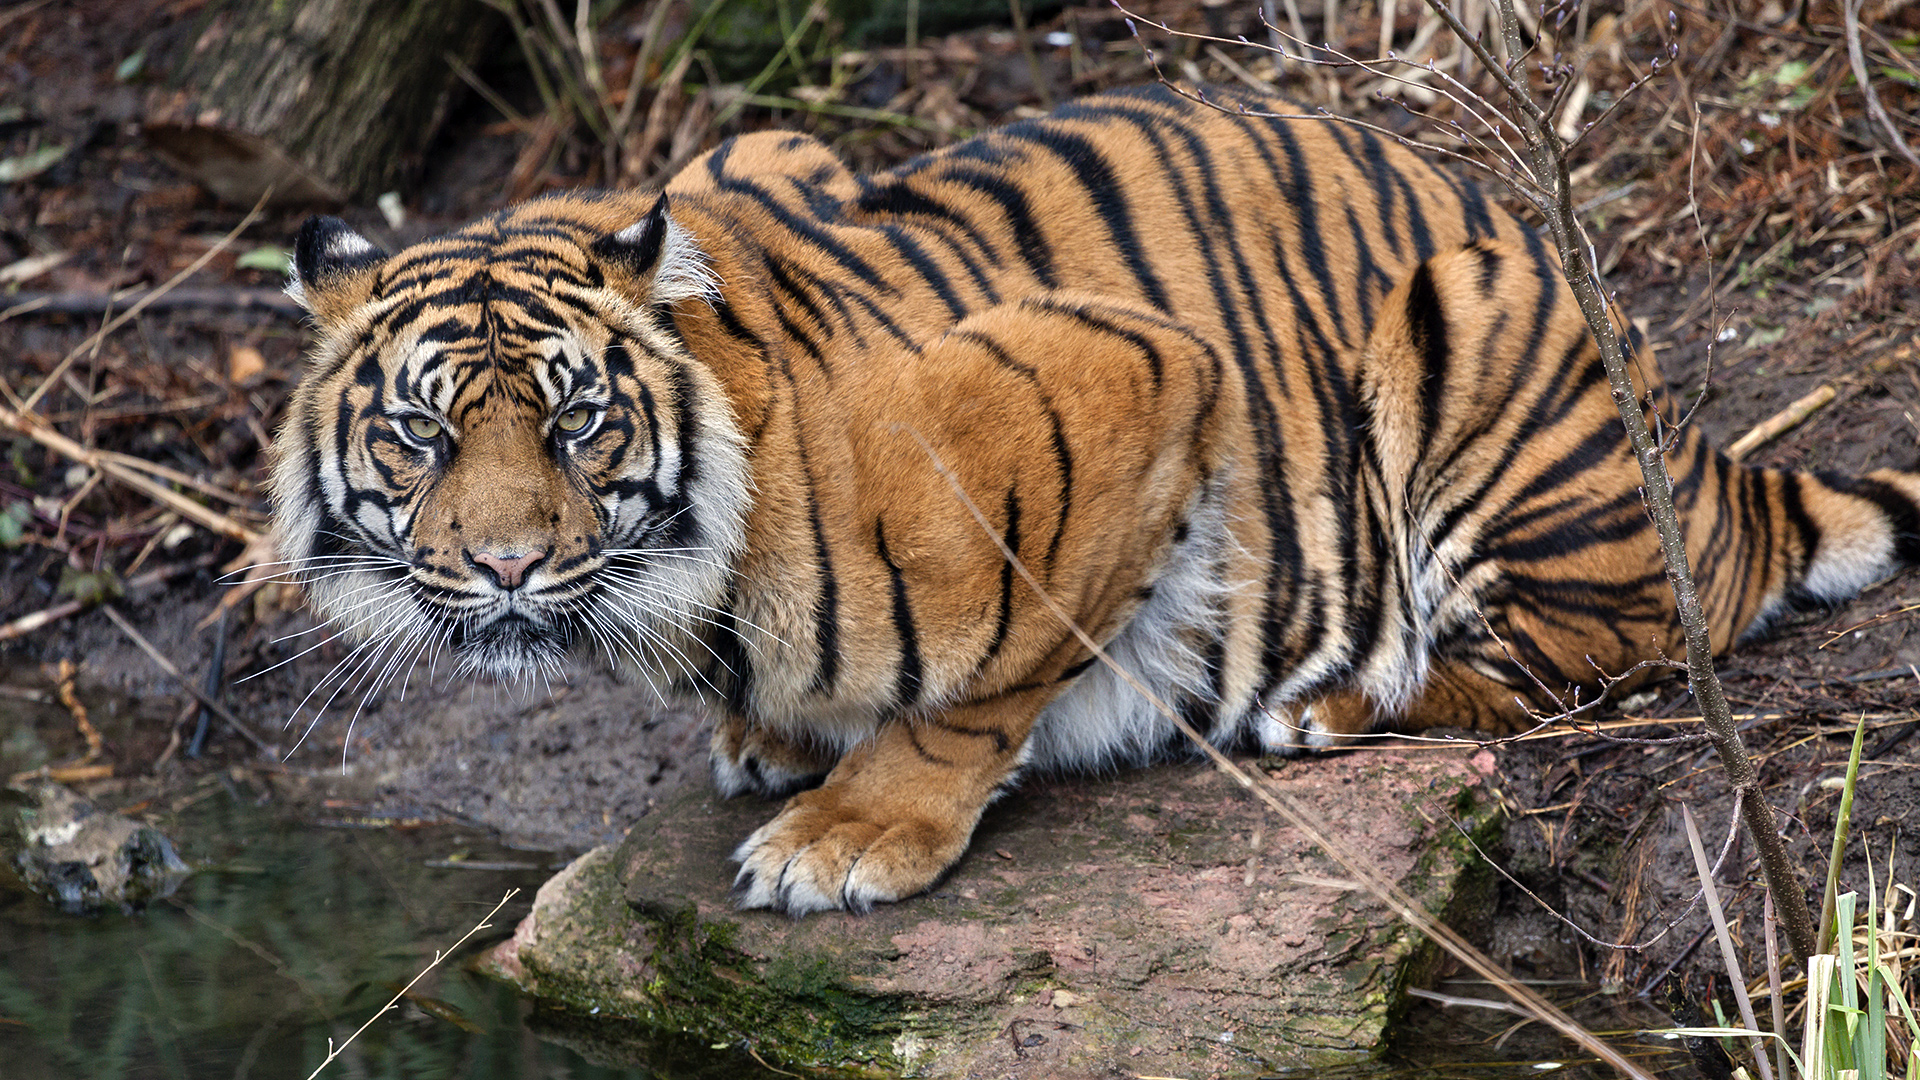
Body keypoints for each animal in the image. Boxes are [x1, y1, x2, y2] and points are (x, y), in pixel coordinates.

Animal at [270, 84, 1920, 910]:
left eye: (578, 423)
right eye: (420, 437)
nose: (500, 567)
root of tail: (1714, 469)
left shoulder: (1132, 374)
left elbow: (982, 681)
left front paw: (851, 836)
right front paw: (769, 743)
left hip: (1483, 333)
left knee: (1593, 662)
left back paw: (1339, 704)